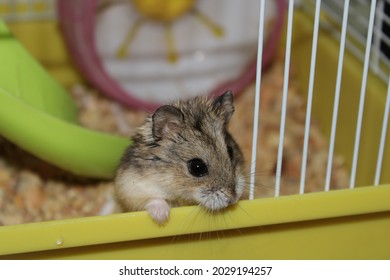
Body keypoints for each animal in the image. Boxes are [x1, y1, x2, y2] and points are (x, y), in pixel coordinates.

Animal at [114, 91, 245, 224]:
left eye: (230, 151)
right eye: (197, 167)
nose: (233, 198)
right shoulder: (130, 188)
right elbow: (152, 199)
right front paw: (162, 217)